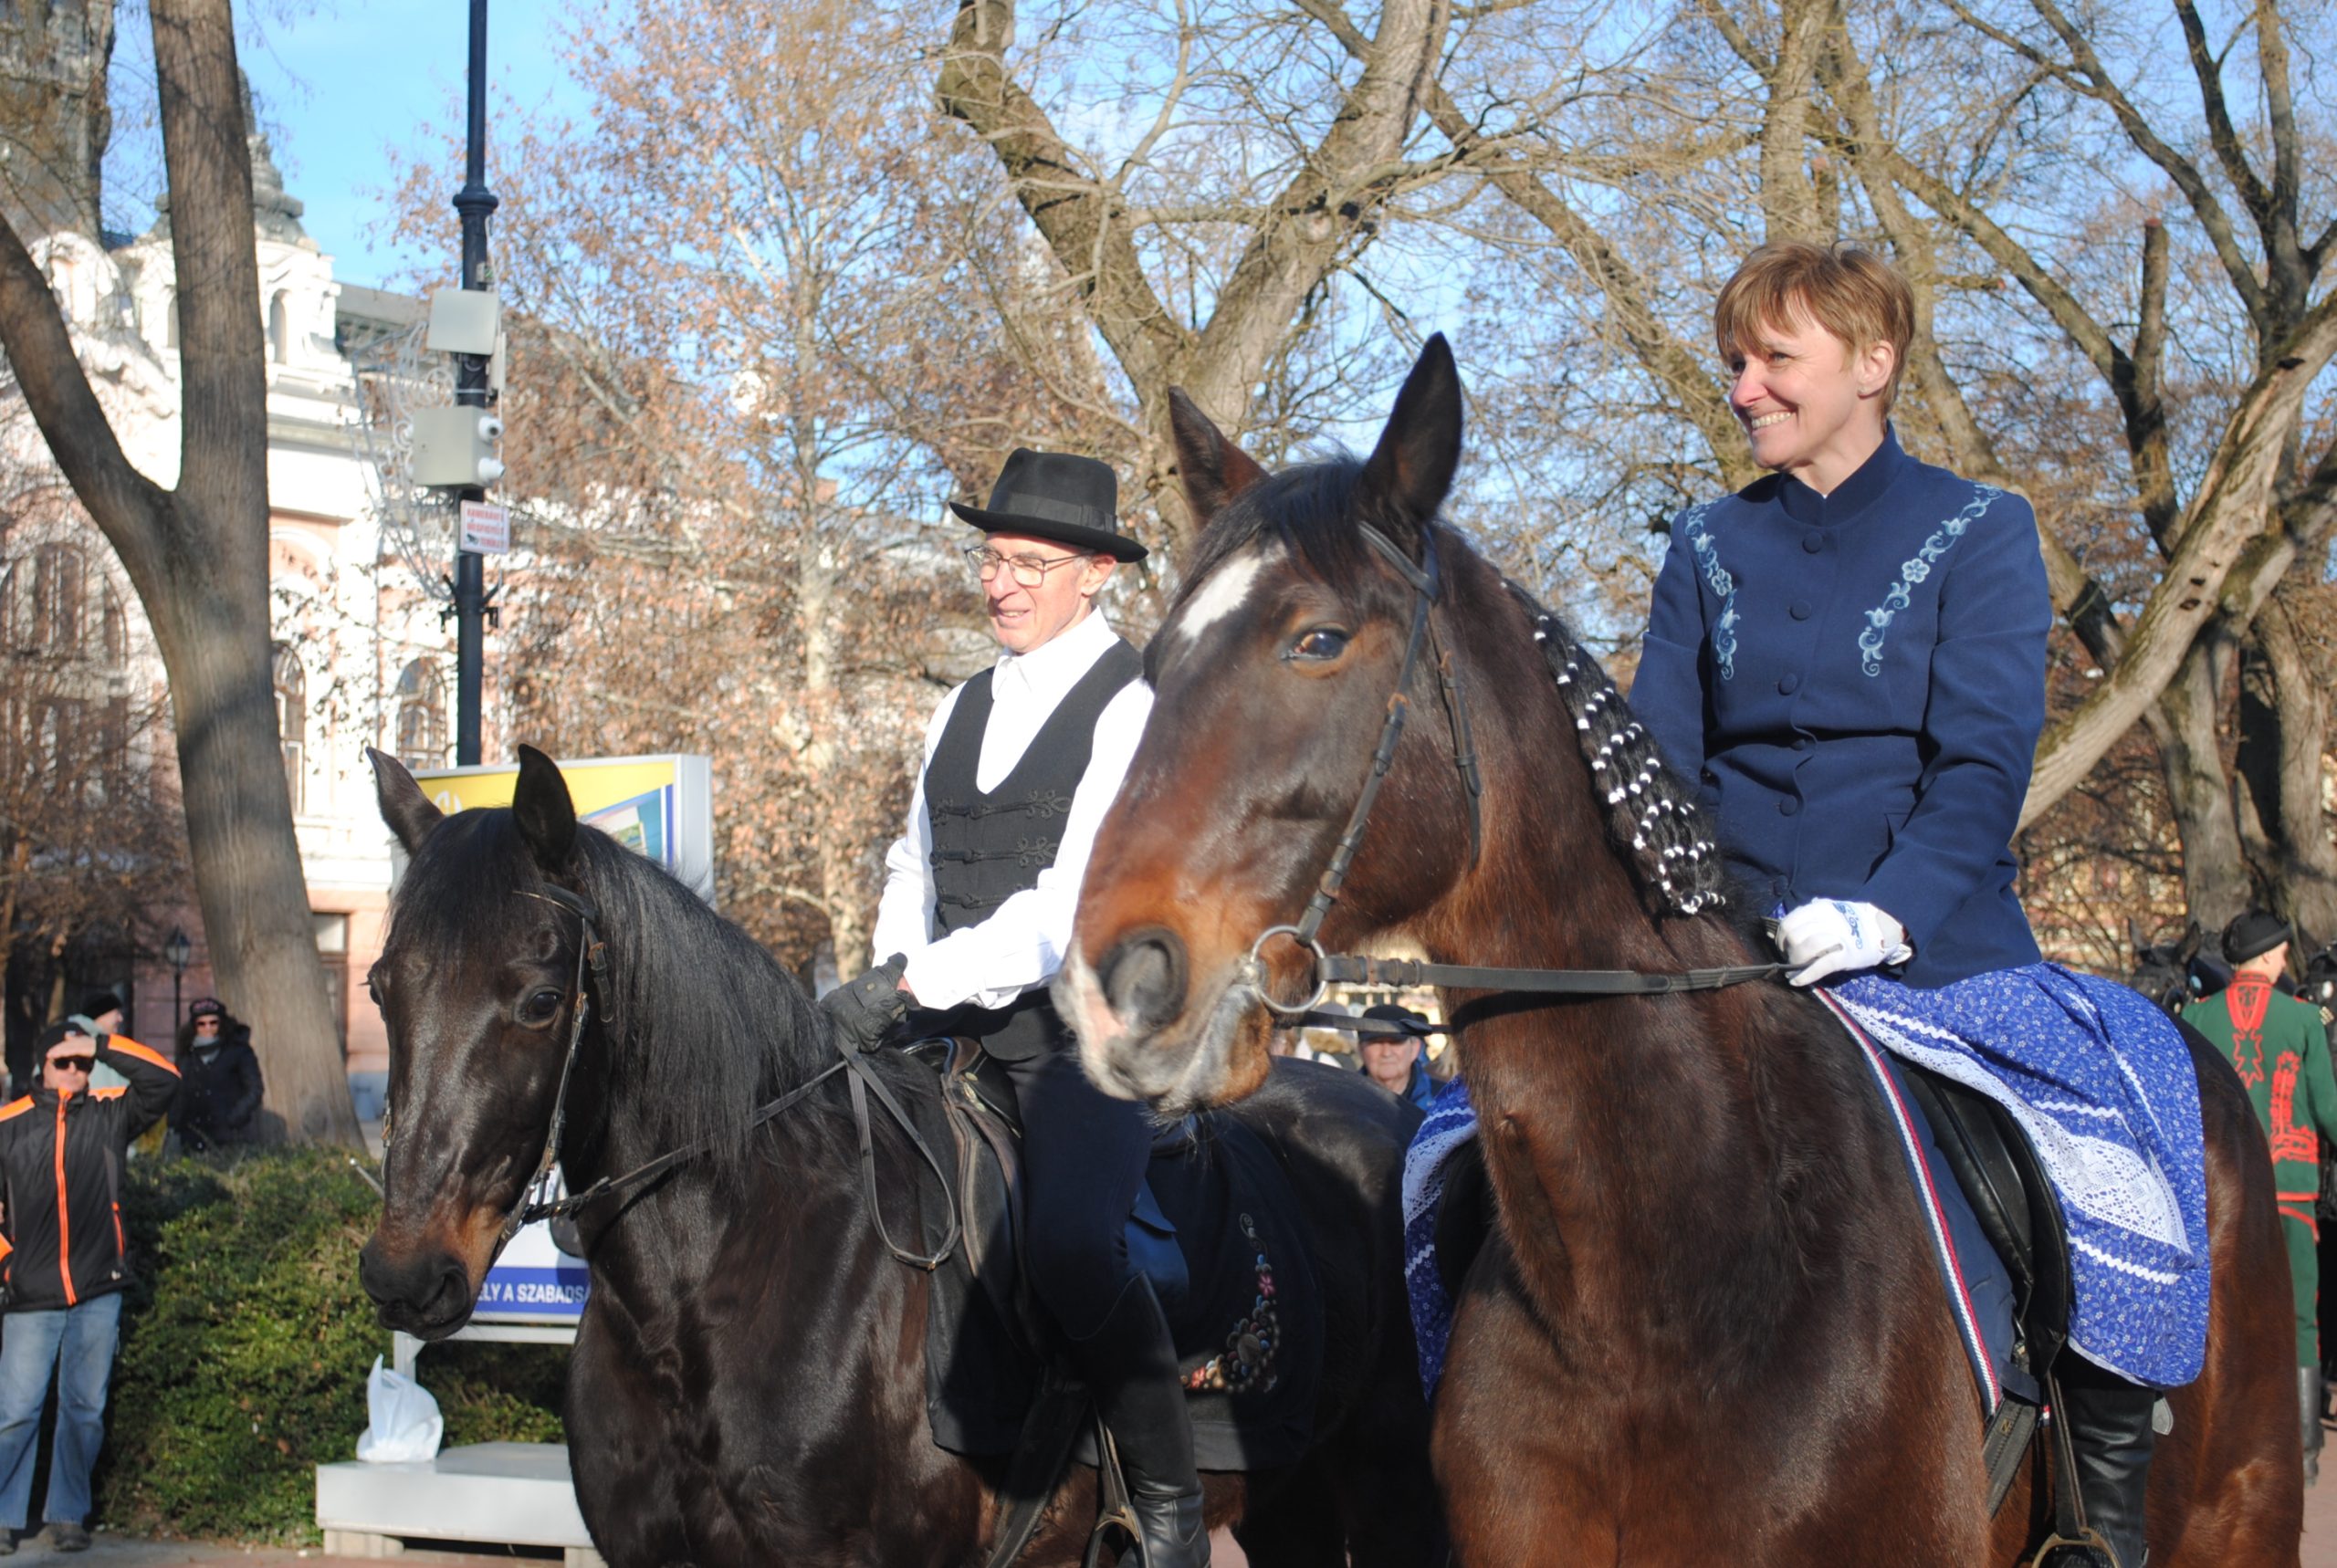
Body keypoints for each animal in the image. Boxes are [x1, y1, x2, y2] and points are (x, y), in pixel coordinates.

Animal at [352, 747, 1439, 1568]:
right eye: (379, 986)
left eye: (541, 999)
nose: (407, 1273)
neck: (705, 1292)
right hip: (1291, 1493)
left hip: (1387, 1479)